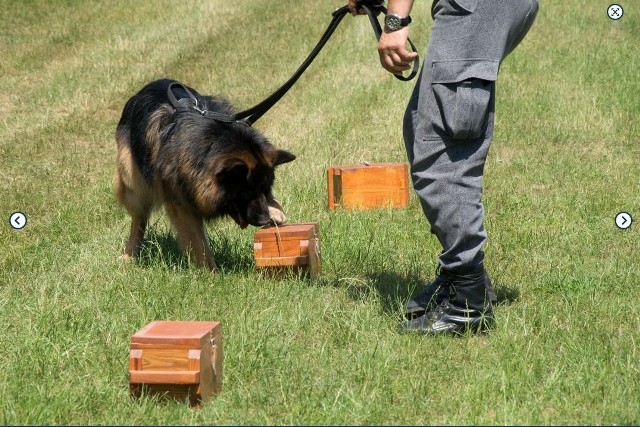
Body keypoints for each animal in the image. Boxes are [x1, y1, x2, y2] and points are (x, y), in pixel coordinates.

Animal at [115, 79, 296, 270]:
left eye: (266, 189)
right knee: (139, 218)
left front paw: (275, 210)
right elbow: (199, 245)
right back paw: (130, 254)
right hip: (131, 180)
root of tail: (148, 87)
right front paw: (210, 273)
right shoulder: (182, 205)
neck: (213, 144)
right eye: (245, 192)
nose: (263, 220)